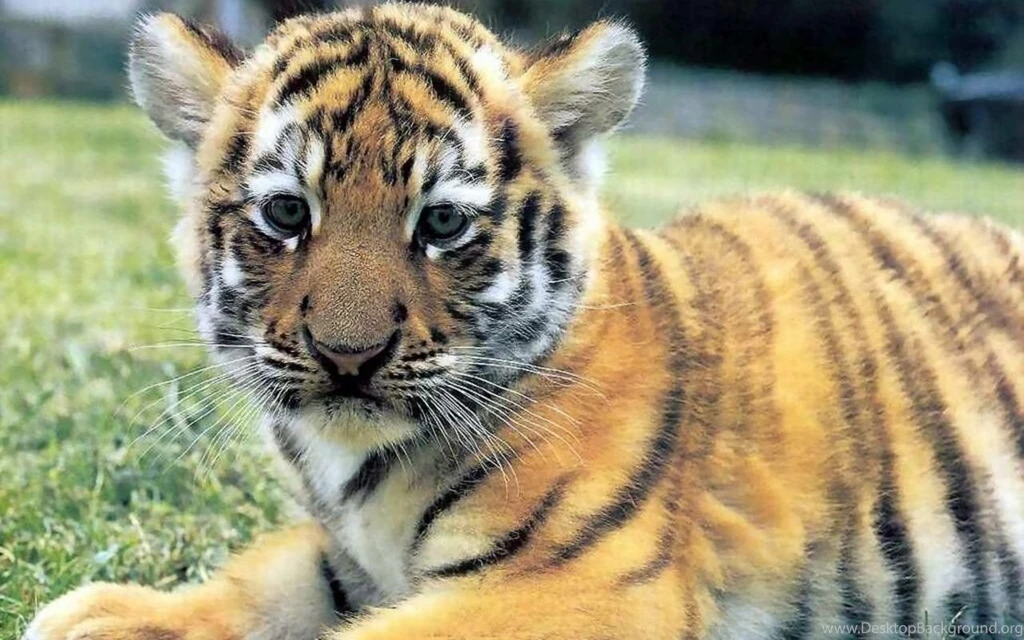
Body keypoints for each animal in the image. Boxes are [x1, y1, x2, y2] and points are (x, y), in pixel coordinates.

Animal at [26, 3, 1024, 640]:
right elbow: (271, 575)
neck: (361, 470)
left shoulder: (575, 583)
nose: (348, 357)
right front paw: (103, 615)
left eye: (440, 224)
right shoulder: (348, 553)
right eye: (285, 214)